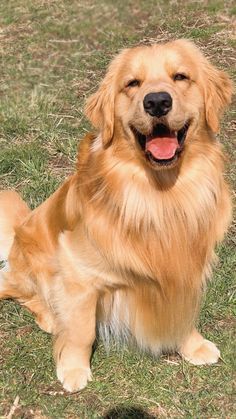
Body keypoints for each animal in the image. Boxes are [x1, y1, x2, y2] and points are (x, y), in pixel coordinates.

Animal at [0, 40, 232, 394]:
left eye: (181, 77)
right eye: (132, 84)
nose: (157, 101)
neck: (160, 196)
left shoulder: (188, 265)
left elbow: (183, 311)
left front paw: (192, 345)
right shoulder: (77, 269)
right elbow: (81, 329)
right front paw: (73, 368)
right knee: (26, 293)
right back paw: (52, 316)